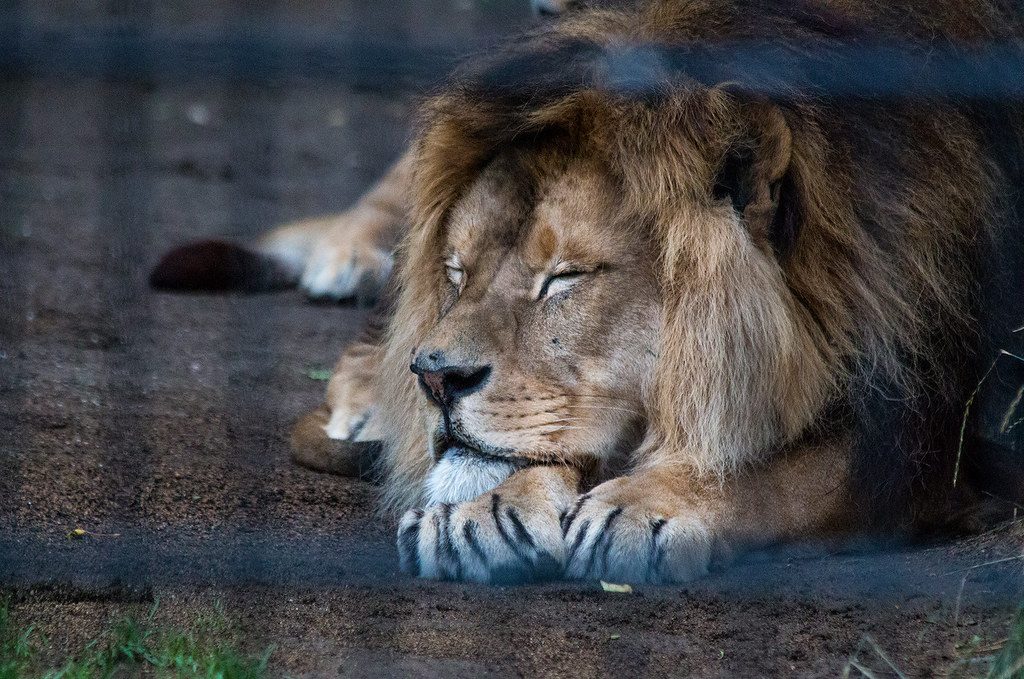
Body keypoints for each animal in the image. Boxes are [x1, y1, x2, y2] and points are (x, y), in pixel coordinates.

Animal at [152, 0, 1024, 584]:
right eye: (458, 271)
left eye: (564, 278)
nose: (436, 380)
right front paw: (484, 510)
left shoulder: (927, 421)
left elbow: (791, 466)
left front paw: (652, 501)